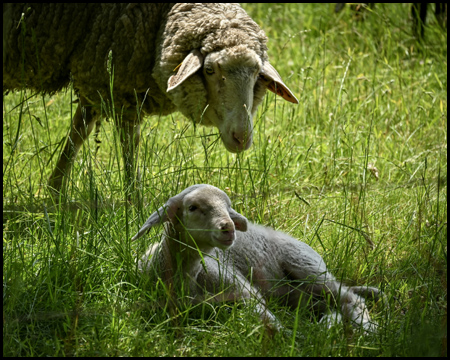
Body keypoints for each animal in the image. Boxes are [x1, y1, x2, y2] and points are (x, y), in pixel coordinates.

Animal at [3, 3, 300, 194]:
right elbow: (127, 147)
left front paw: (54, 192)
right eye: (209, 70)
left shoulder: (98, 73)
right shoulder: (117, 84)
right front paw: (133, 201)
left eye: (256, 74)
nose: (242, 137)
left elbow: (79, 132)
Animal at [132, 186, 382, 334]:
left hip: (307, 267)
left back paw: (367, 329)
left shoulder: (245, 291)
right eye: (192, 207)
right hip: (295, 292)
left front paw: (291, 336)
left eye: (228, 208)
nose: (229, 227)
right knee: (329, 303)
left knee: (351, 298)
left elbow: (269, 321)